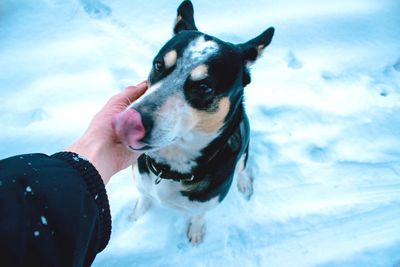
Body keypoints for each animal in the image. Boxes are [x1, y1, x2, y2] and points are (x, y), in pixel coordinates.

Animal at [113, 0, 276, 245]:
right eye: (158, 65)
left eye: (204, 87)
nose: (128, 123)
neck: (170, 169)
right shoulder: (142, 185)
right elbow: (142, 201)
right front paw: (135, 220)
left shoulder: (208, 202)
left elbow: (199, 215)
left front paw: (196, 232)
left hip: (245, 146)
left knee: (243, 166)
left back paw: (245, 184)